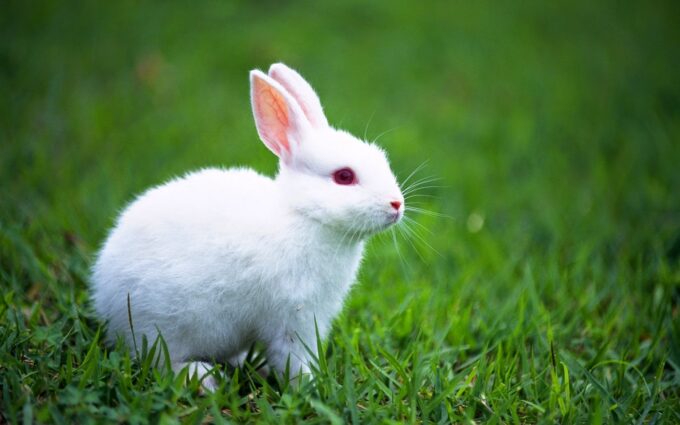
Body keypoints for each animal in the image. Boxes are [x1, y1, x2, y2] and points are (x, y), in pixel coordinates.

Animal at [91, 63, 405, 389]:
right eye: (344, 176)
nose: (396, 204)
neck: (304, 215)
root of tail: (104, 297)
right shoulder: (293, 318)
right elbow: (293, 359)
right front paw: (311, 386)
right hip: (162, 326)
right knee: (161, 361)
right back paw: (203, 378)